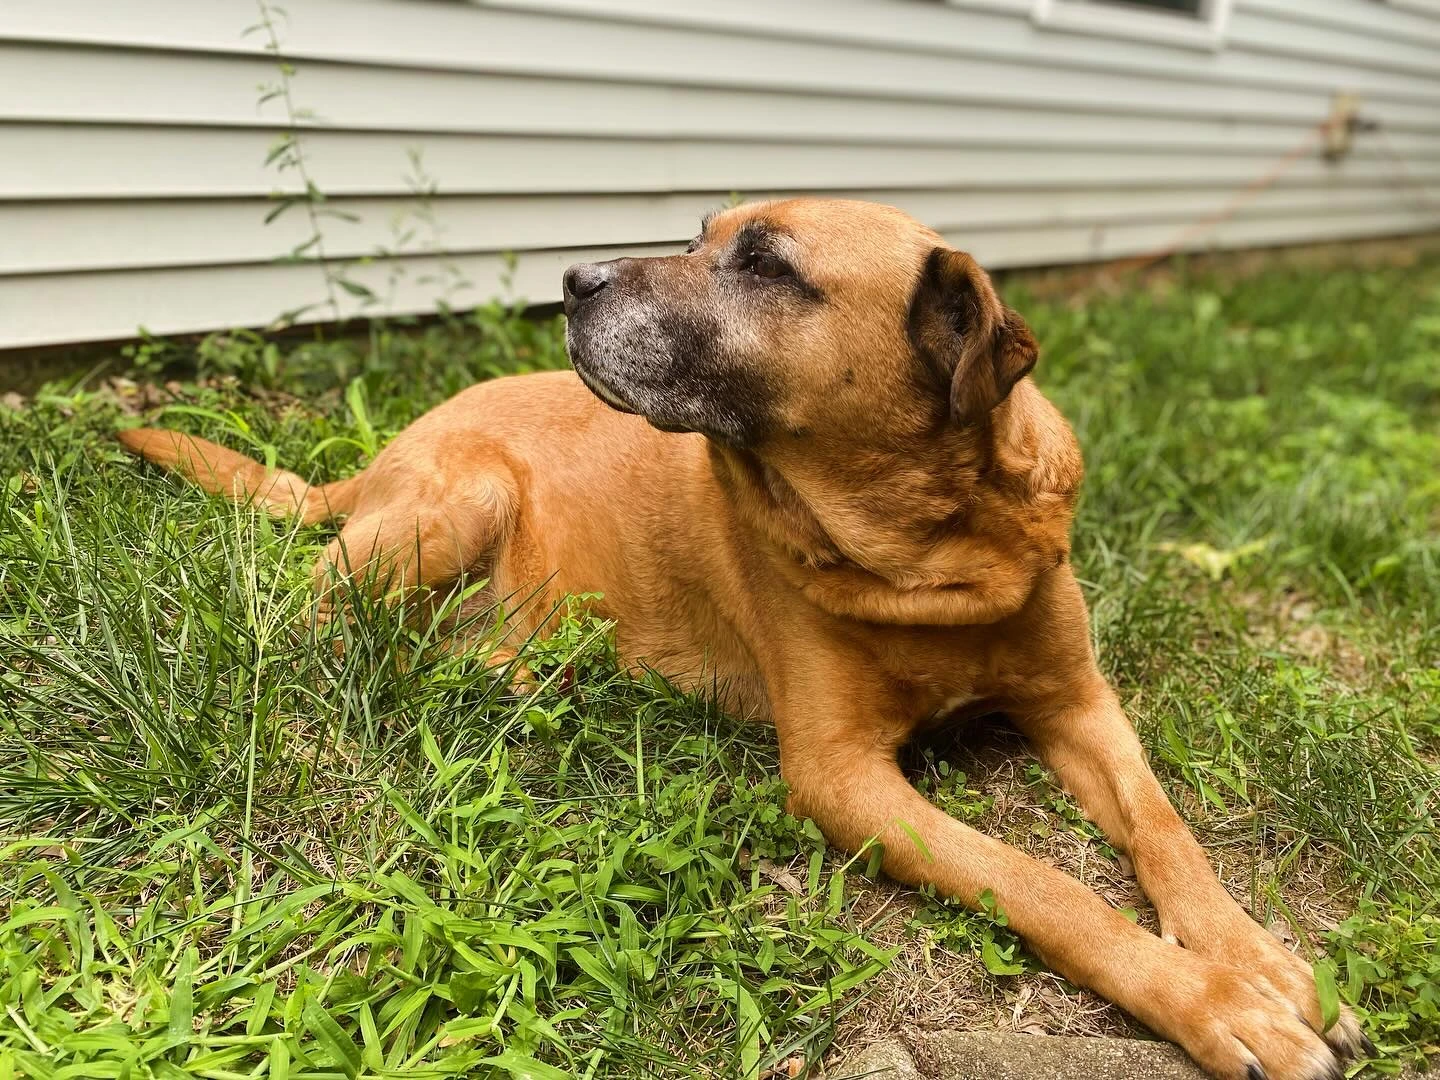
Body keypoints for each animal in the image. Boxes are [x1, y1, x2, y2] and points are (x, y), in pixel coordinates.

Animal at [120, 198, 1359, 1077]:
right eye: (700, 236)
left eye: (766, 264)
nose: (570, 280)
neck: (932, 554)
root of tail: (386, 452)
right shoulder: (844, 777)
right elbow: (1042, 886)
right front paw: (1214, 1005)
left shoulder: (1078, 700)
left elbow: (1165, 832)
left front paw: (1257, 960)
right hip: (450, 502)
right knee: (311, 617)